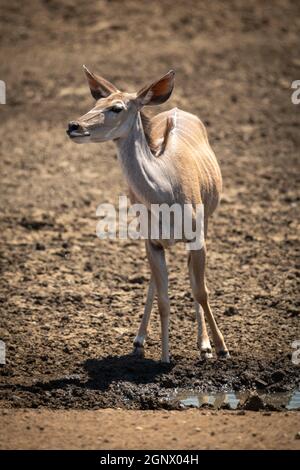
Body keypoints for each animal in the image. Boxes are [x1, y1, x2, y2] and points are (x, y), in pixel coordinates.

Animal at [67, 66, 229, 362]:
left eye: (117, 107)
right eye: (96, 103)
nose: (74, 126)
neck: (165, 192)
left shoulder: (197, 237)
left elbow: (201, 291)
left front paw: (219, 348)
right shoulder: (152, 242)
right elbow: (164, 297)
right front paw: (164, 358)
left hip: (207, 222)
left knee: (191, 277)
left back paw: (205, 345)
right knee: (157, 282)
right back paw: (139, 340)